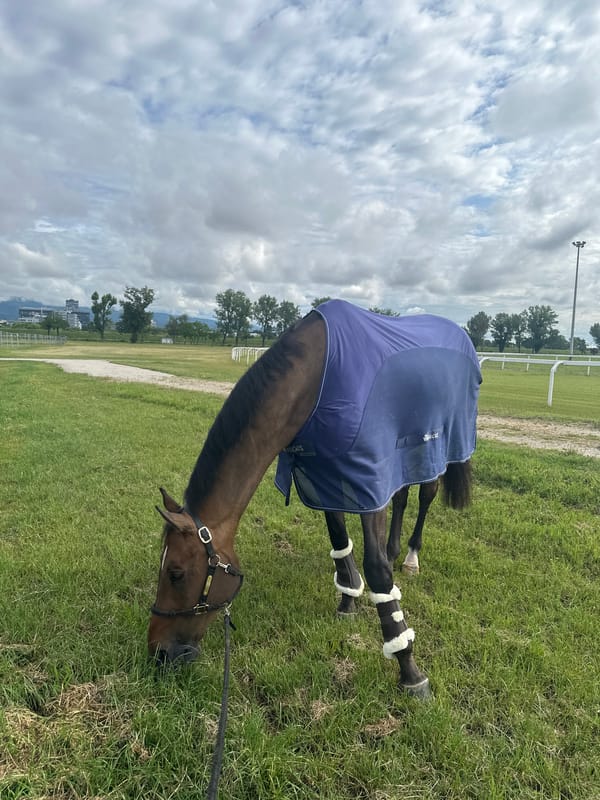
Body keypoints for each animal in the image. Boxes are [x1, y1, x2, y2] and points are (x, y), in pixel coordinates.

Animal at [148, 300, 481, 698]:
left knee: (426, 495)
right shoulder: (324, 475)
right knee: (401, 495)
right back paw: (394, 548)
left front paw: (408, 667)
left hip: (434, 446)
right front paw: (348, 599)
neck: (319, 378)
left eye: (176, 573)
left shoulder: (368, 480)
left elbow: (377, 570)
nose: (158, 652)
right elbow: (340, 542)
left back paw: (411, 556)